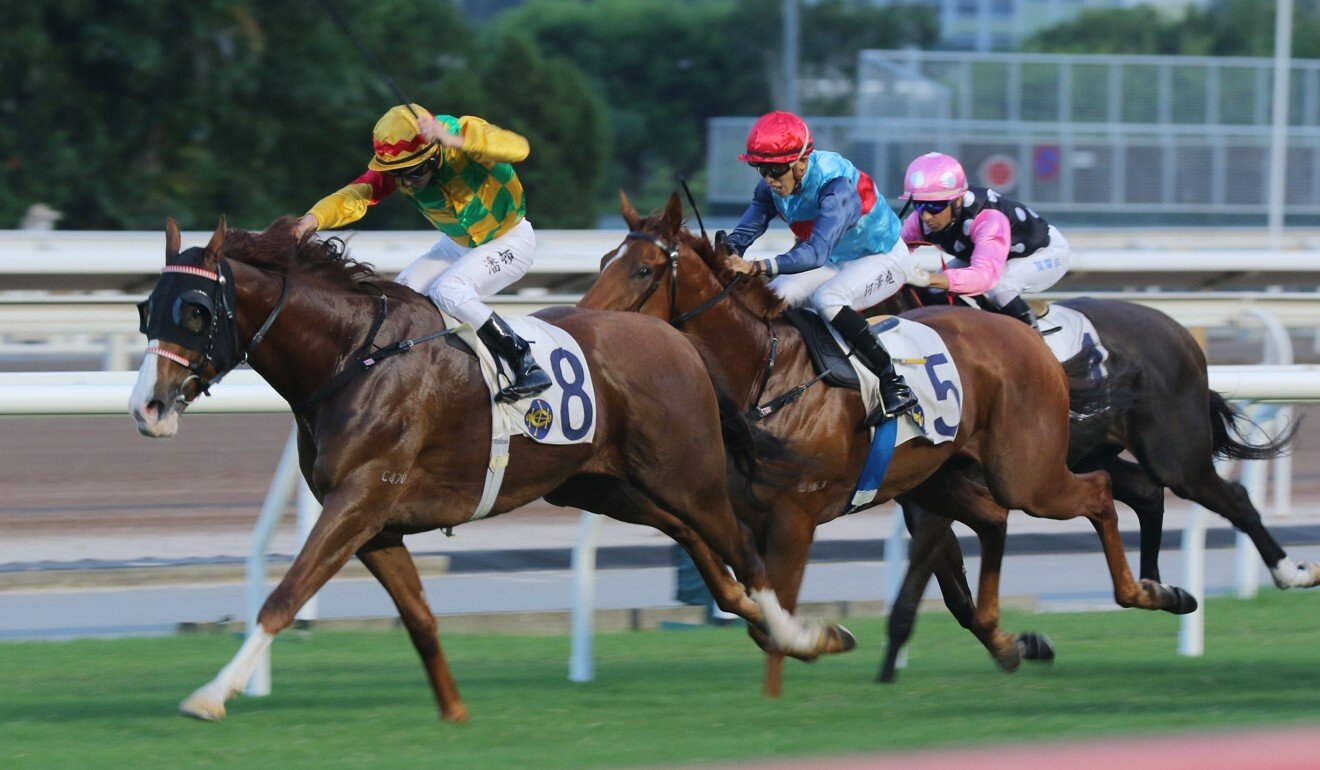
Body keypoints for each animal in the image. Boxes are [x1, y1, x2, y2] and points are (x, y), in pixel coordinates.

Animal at [128, 216, 850, 723]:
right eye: (145, 311)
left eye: (195, 311)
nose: (147, 406)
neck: (352, 357)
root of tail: (676, 338)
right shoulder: (375, 522)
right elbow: (420, 619)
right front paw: (454, 712)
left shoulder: (359, 498)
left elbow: (285, 596)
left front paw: (212, 693)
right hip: (608, 485)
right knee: (698, 542)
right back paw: (769, 624)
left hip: (687, 473)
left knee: (743, 551)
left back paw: (799, 633)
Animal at [578, 192, 1198, 697]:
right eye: (605, 260)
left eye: (643, 269)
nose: (584, 325)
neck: (765, 372)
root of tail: (1027, 337)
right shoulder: (736, 509)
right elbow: (741, 592)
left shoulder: (796, 518)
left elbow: (777, 612)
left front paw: (798, 666)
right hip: (945, 479)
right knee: (997, 518)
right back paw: (1017, 637)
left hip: (1028, 474)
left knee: (1097, 491)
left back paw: (1151, 592)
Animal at [876, 291, 1298, 681]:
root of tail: (1175, 329)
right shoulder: (925, 499)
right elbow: (955, 594)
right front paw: (1022, 644)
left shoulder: (942, 499)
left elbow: (928, 583)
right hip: (1091, 454)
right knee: (1146, 492)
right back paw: (1155, 585)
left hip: (1173, 458)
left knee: (1230, 498)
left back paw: (1289, 571)